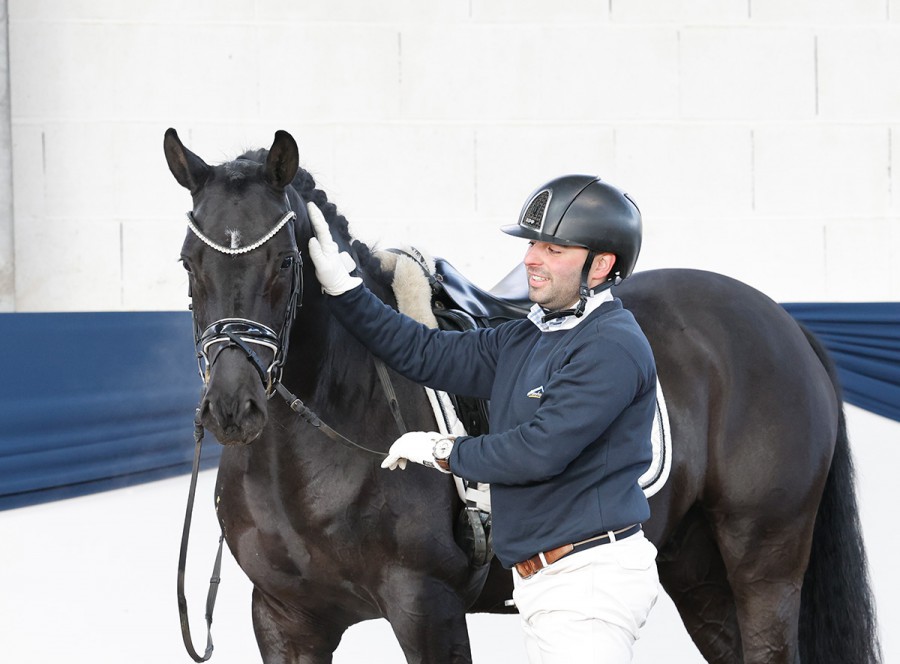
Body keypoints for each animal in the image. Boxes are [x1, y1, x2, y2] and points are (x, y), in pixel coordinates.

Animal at [163, 130, 880, 664]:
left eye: (285, 264)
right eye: (188, 264)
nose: (233, 409)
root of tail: (785, 323)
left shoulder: (425, 607)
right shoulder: (285, 620)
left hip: (765, 564)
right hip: (696, 566)